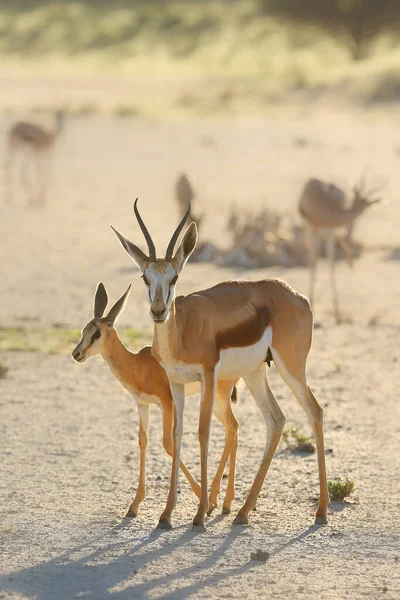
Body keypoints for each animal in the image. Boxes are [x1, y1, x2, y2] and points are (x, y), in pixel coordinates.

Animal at [71, 282, 239, 516]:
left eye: (96, 333)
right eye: (84, 330)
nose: (76, 354)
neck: (138, 366)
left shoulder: (166, 404)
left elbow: (168, 444)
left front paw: (198, 497)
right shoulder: (142, 404)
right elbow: (143, 441)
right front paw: (134, 505)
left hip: (219, 398)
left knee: (232, 427)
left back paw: (217, 499)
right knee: (233, 428)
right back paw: (225, 501)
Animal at [110, 200, 328, 528]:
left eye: (174, 277)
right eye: (146, 278)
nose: (159, 311)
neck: (182, 332)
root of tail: (299, 297)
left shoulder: (208, 377)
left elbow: (203, 432)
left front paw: (200, 513)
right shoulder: (175, 383)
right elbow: (177, 435)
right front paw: (167, 514)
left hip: (291, 370)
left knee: (315, 411)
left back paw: (322, 511)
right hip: (254, 374)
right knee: (276, 420)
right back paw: (242, 511)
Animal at [298, 173, 382, 322]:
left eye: (367, 202)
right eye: (362, 200)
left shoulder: (329, 230)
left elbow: (331, 266)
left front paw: (338, 314)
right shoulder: (313, 228)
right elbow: (314, 265)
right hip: (310, 229)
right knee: (311, 254)